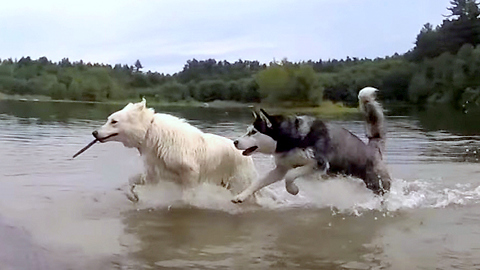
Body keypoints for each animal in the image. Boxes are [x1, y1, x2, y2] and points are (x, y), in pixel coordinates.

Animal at [94, 99, 258, 200]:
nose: (95, 133)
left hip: (238, 177)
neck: (150, 132)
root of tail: (246, 153)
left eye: (114, 121)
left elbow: (188, 190)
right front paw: (132, 195)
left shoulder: (187, 167)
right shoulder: (155, 167)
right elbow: (139, 179)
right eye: (108, 119)